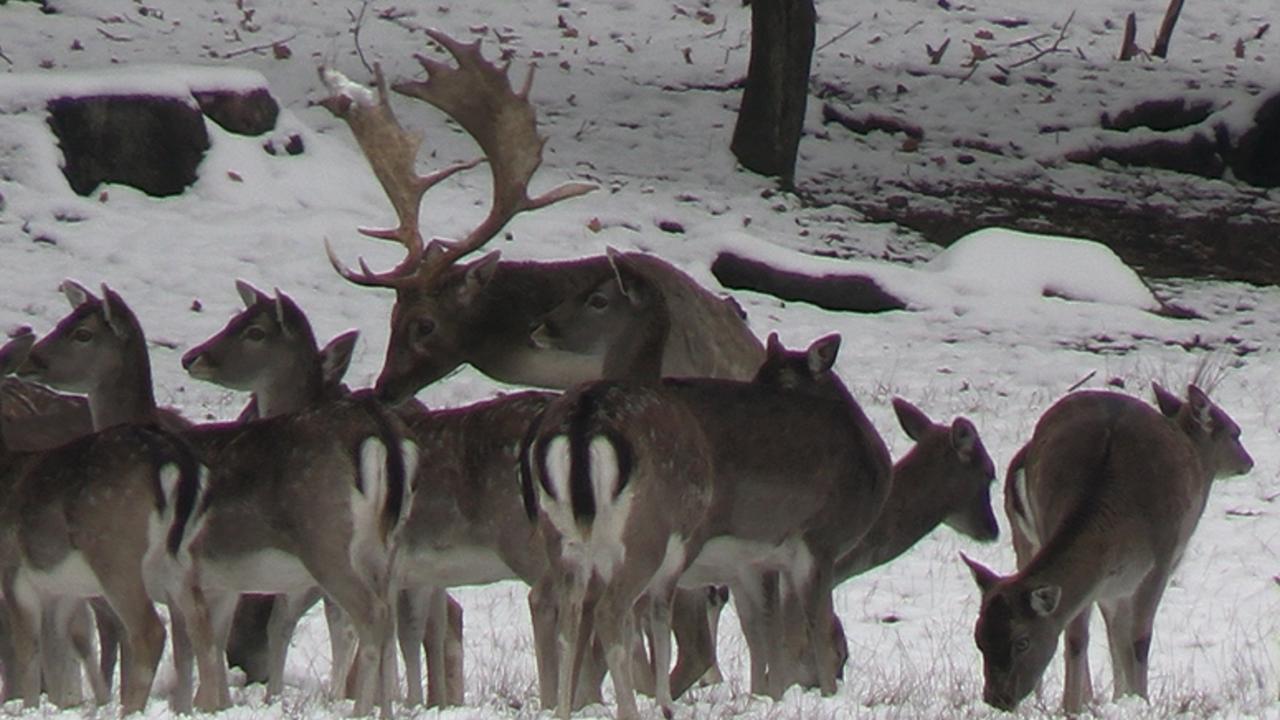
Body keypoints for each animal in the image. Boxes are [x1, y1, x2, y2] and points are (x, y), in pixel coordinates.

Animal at [967, 384, 1249, 707]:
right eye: (979, 639)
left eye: (1022, 642)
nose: (996, 698)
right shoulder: (1163, 560)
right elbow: (1130, 637)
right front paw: (1122, 700)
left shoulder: (1127, 573)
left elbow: (1108, 635)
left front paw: (1114, 700)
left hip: (1024, 538)